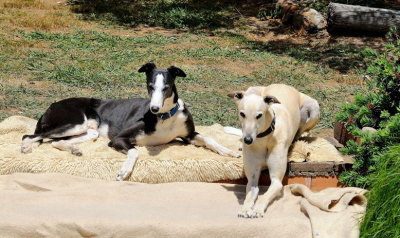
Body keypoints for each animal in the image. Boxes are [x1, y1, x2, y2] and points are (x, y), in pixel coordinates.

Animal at [21, 63, 239, 180]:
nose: (153, 109)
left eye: (166, 87)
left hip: (89, 129)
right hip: (75, 123)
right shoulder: (118, 138)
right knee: (29, 135)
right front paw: (125, 170)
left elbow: (210, 139)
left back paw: (74, 149)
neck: (165, 118)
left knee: (56, 142)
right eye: (150, 86)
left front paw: (228, 151)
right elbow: (135, 151)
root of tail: (51, 106)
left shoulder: (189, 135)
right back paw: (26, 147)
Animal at [227, 83, 320, 218]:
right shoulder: (252, 179)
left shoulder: (277, 181)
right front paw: (245, 209)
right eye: (242, 114)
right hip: (252, 89)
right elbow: (250, 194)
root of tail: (283, 84)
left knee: (300, 131)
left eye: (259, 115)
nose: (248, 140)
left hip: (313, 109)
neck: (264, 138)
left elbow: (265, 195)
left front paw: (257, 209)